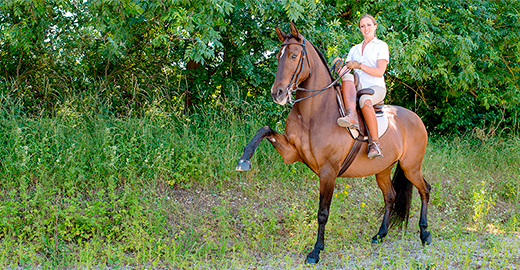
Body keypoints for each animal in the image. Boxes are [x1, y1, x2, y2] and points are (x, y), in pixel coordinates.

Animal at [236, 23, 430, 264]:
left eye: (293, 56)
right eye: (278, 57)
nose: (277, 93)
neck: (314, 113)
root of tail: (416, 118)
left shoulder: (328, 171)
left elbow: (322, 213)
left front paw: (316, 251)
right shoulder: (291, 153)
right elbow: (264, 129)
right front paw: (244, 159)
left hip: (411, 167)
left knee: (425, 190)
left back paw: (425, 234)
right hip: (383, 170)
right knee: (390, 197)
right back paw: (380, 234)